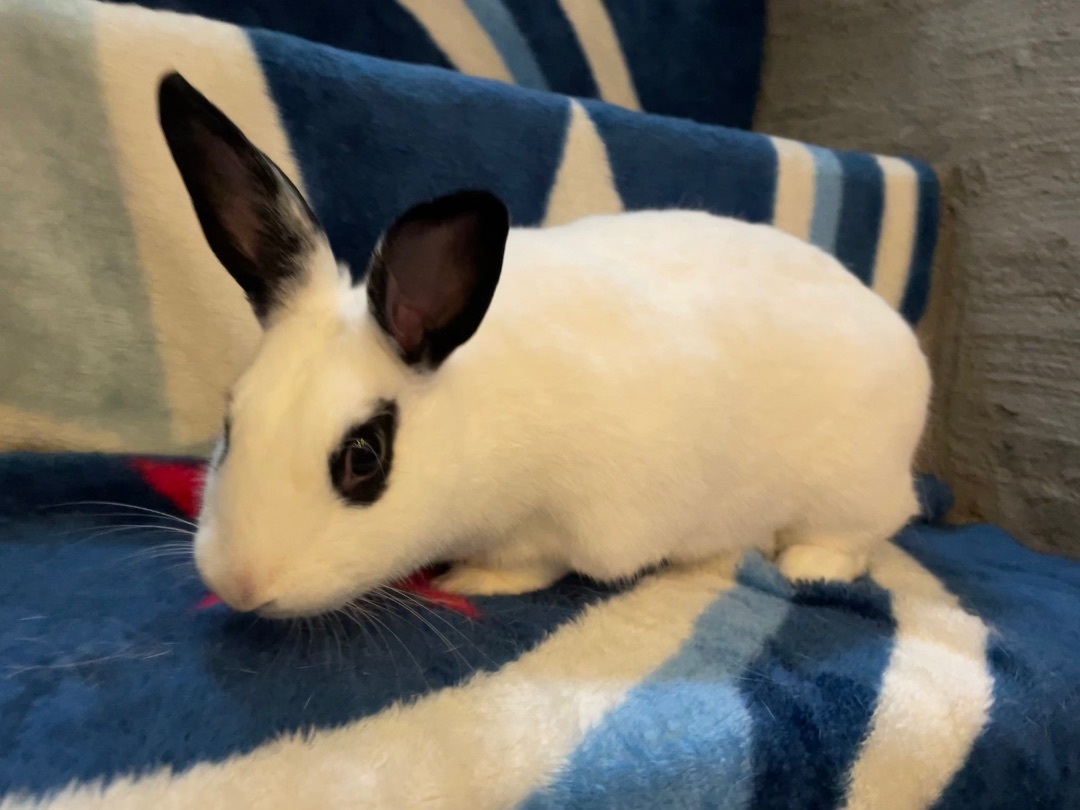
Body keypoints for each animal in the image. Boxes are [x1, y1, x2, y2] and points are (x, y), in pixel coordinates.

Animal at [158, 71, 931, 618]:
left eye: (363, 458)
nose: (241, 585)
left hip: (850, 489)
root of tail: (904, 343)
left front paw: (475, 578)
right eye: (230, 423)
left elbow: (533, 563)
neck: (473, 416)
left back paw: (806, 565)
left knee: (857, 534)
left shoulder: (581, 516)